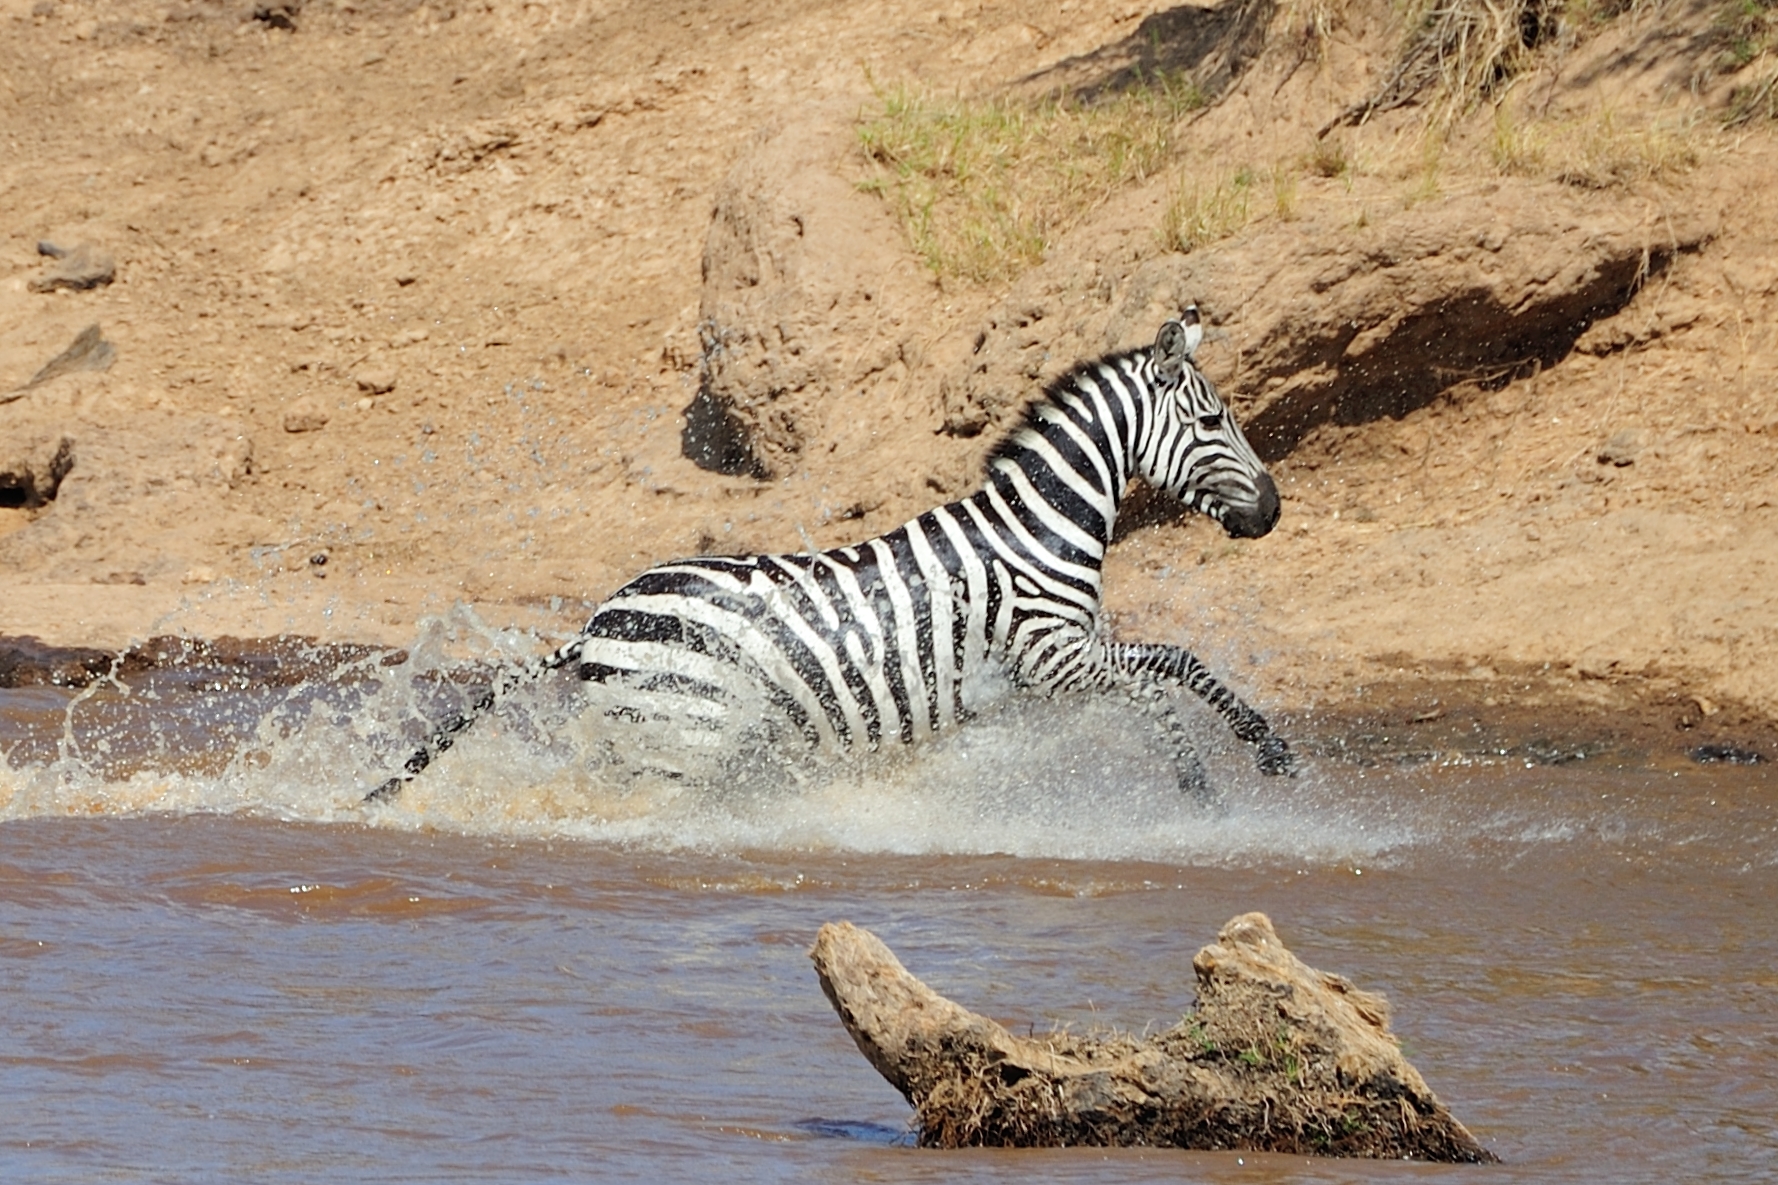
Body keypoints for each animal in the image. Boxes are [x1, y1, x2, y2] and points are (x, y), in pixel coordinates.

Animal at [368, 304, 1294, 804]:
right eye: (1213, 420)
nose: (1275, 511)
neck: (1036, 528)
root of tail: (596, 621)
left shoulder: (1068, 662)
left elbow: (1164, 675)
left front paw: (1222, 766)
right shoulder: (1048, 659)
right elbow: (1165, 674)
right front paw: (1238, 762)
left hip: (657, 736)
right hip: (679, 739)